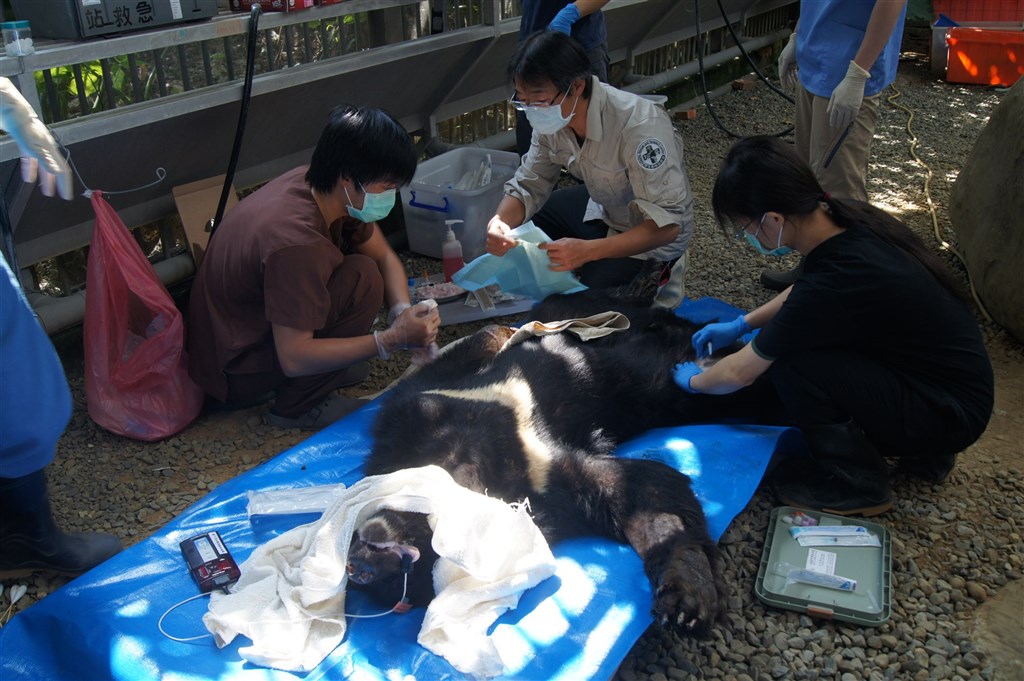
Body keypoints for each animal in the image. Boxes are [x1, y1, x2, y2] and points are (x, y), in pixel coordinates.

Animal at [348, 274, 733, 634]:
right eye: (406, 576)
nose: (357, 566)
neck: (454, 464)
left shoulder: (417, 411)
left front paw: (687, 593)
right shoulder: (540, 489)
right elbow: (633, 487)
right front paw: (686, 596)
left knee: (579, 304)